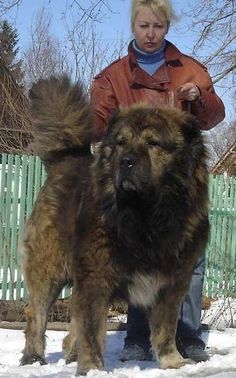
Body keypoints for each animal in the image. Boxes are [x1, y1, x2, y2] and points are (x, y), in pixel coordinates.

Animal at [20, 76, 208, 376]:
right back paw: (34, 357)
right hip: (49, 268)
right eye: (121, 143)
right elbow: (92, 330)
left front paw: (172, 362)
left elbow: (165, 329)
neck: (146, 216)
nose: (125, 161)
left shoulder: (172, 281)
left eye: (153, 143)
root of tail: (66, 158)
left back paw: (70, 352)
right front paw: (92, 369)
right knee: (36, 314)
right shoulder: (97, 277)